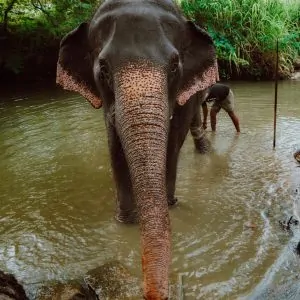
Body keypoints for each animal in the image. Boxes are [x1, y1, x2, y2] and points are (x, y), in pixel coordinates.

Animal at [55, 1, 218, 298]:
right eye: (103, 68)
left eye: (175, 65)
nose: (152, 291)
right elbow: (114, 142)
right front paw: (125, 222)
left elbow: (174, 140)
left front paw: (170, 203)